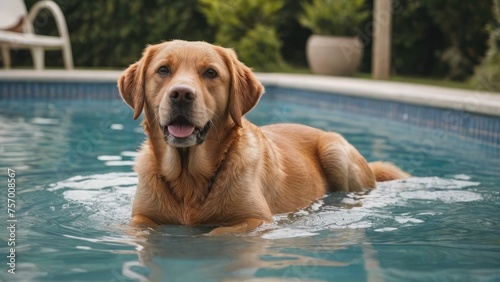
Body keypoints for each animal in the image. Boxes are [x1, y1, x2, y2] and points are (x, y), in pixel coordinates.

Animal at [118, 38, 410, 235]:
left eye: (210, 73)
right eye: (163, 70)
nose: (181, 94)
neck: (189, 179)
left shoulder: (256, 220)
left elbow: (216, 232)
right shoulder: (140, 218)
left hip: (334, 149)